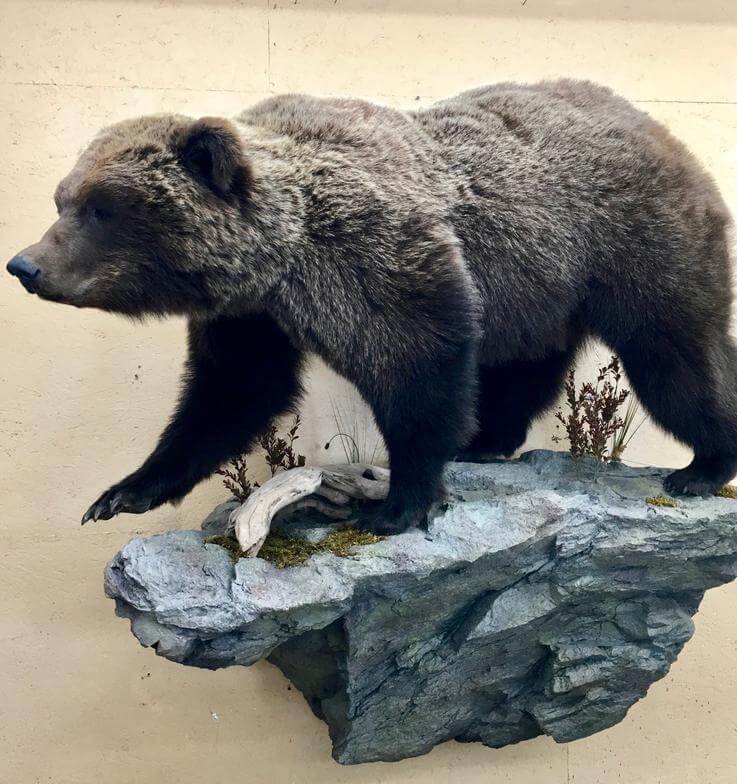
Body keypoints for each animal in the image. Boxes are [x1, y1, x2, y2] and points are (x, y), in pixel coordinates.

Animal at [7, 79, 737, 535]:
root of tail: (663, 130)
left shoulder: (370, 255)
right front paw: (122, 492)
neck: (280, 256)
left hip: (633, 248)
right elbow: (232, 392)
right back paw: (487, 440)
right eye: (63, 197)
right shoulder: (250, 316)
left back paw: (704, 465)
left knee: (677, 358)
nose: (25, 264)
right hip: (537, 281)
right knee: (524, 365)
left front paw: (399, 504)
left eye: (101, 207)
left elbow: (416, 367)